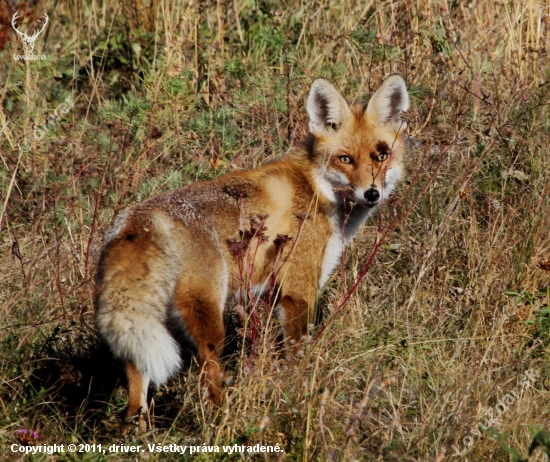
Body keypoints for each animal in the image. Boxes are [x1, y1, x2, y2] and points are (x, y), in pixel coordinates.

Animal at [97, 74, 412, 432]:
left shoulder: (272, 294)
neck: (319, 189)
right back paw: (219, 418)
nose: (372, 194)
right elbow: (297, 357)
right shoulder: (297, 290)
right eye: (345, 159)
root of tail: (139, 217)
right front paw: (297, 395)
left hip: (152, 328)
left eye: (381, 155)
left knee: (136, 378)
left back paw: (139, 430)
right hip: (211, 323)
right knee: (209, 373)